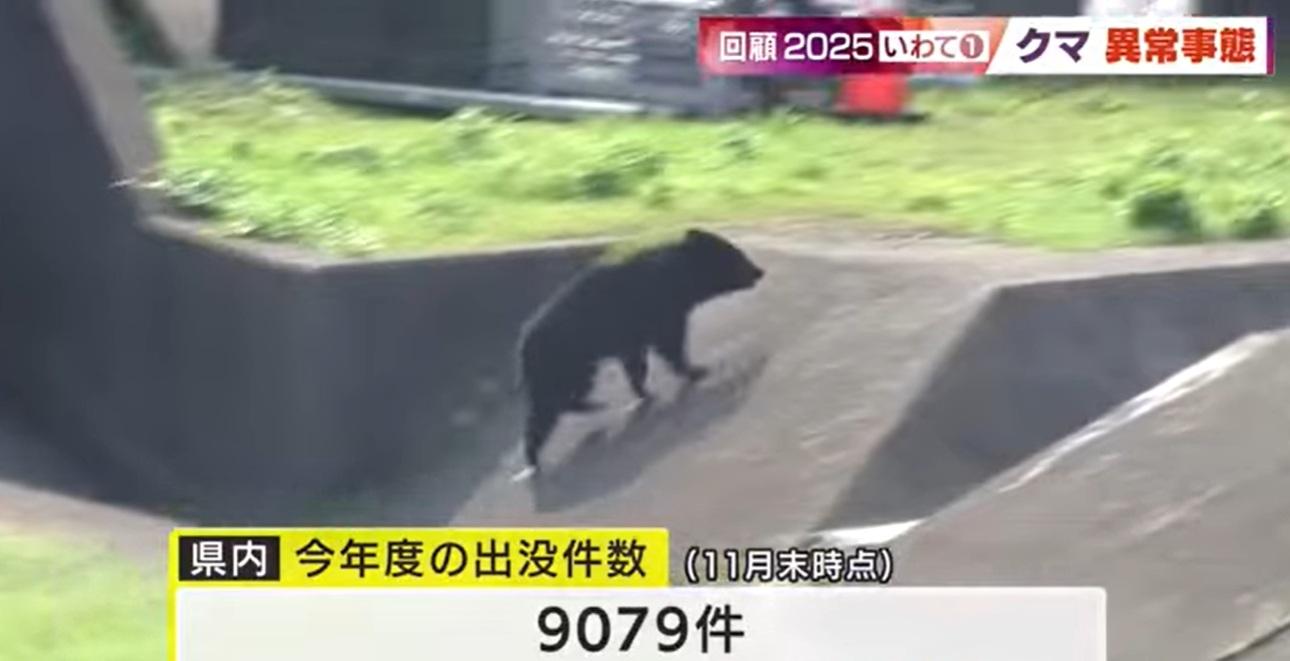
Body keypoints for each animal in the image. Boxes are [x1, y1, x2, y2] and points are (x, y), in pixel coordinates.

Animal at [512, 228, 765, 480]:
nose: (760, 271)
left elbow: (636, 362)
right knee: (552, 403)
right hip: (566, 361)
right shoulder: (663, 312)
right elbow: (670, 344)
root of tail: (523, 346)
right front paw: (697, 370)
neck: (680, 276)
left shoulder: (635, 335)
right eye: (736, 254)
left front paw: (644, 390)